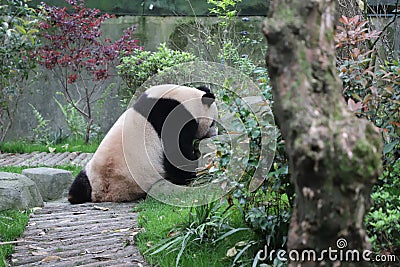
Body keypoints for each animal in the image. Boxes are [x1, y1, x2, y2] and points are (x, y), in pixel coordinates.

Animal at [69, 85, 219, 204]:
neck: (184, 99)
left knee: (78, 185)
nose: (215, 132)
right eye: (213, 123)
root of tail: (104, 193)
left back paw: (73, 196)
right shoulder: (174, 119)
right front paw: (192, 170)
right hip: (138, 180)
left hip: (90, 172)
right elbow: (176, 154)